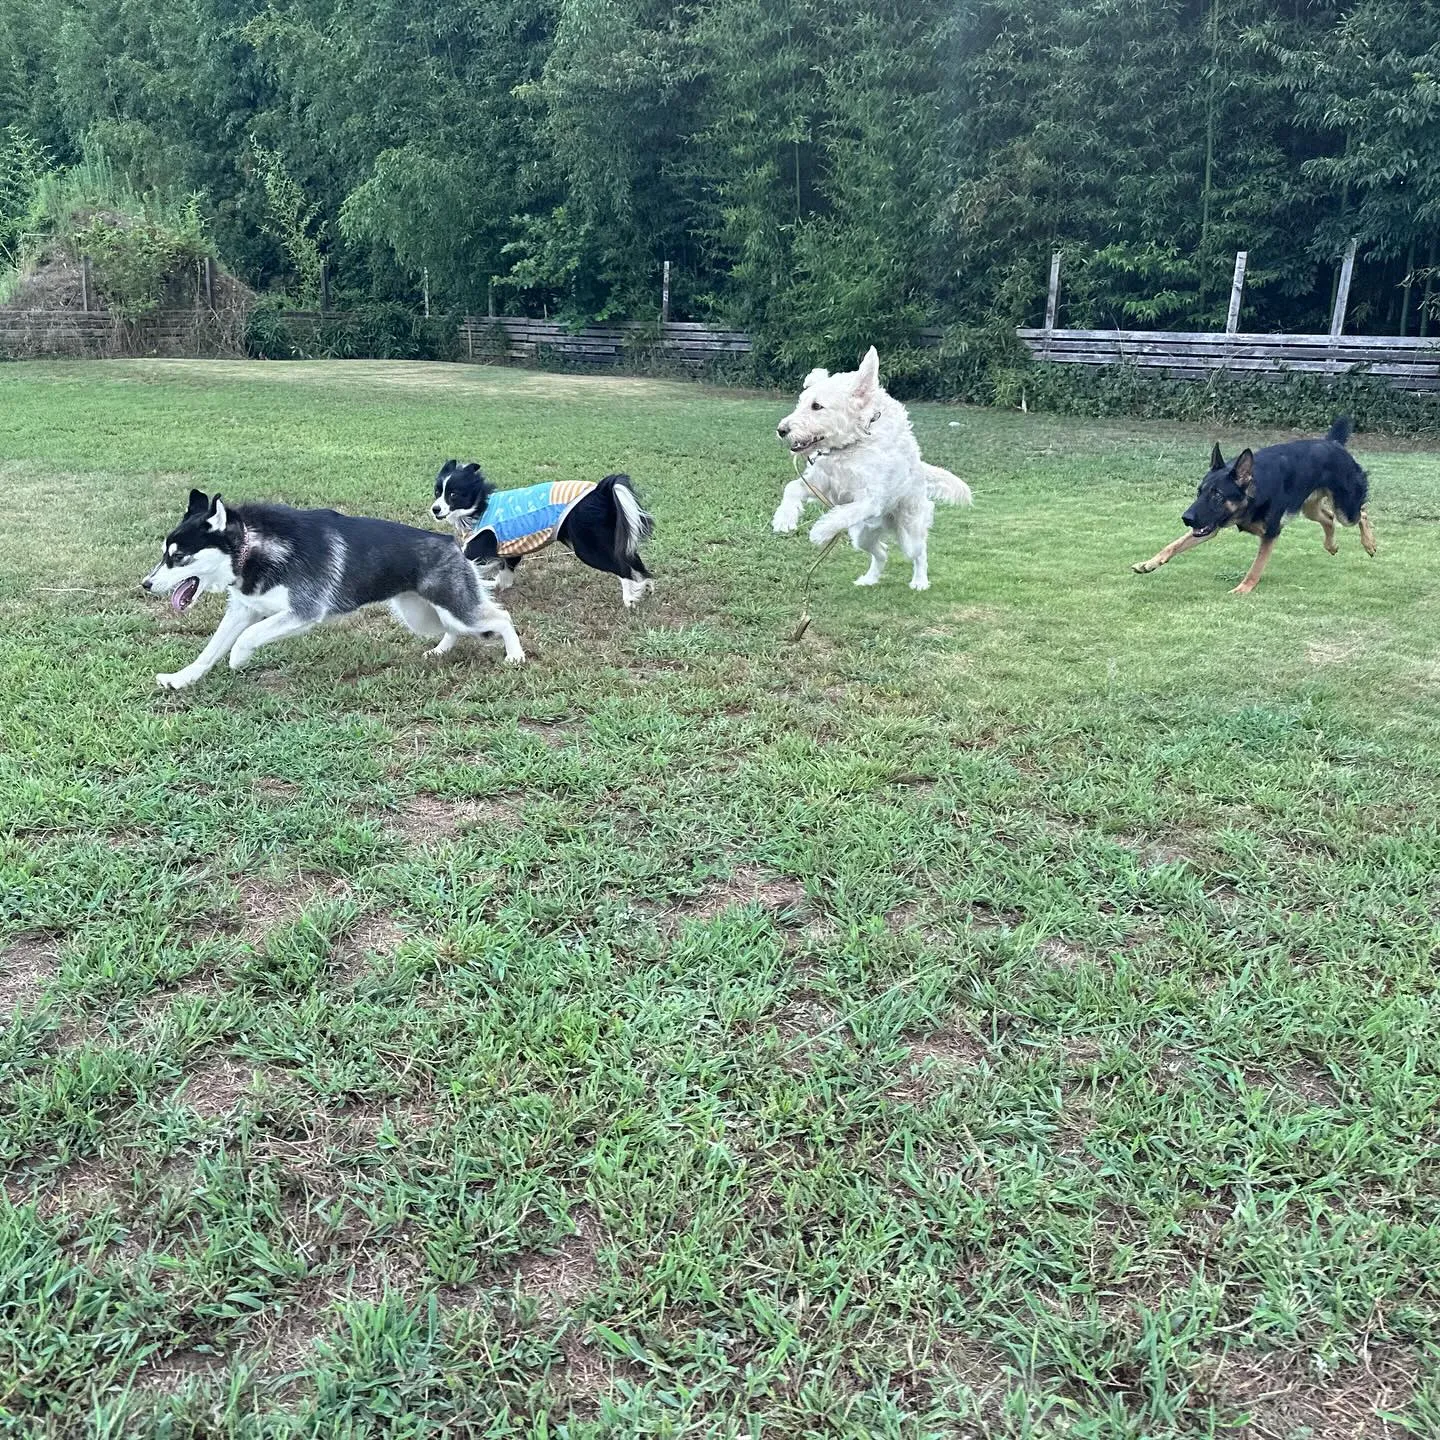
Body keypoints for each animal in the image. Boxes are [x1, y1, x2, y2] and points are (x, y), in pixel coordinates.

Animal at [137, 489, 524, 685]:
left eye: (179, 557)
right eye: (164, 554)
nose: (146, 584)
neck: (251, 547)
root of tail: (453, 543)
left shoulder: (303, 612)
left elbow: (247, 637)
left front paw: (238, 658)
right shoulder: (244, 609)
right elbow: (209, 651)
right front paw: (182, 678)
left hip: (455, 608)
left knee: (500, 617)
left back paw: (515, 656)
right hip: (422, 616)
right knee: (452, 629)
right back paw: (441, 651)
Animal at [426, 460, 653, 607]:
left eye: (453, 494)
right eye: (437, 492)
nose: (435, 509)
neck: (479, 504)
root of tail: (601, 490)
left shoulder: (478, 549)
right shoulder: (510, 551)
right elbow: (504, 578)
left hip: (587, 547)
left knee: (622, 567)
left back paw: (629, 598)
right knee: (634, 560)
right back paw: (646, 586)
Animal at [771, 345, 973, 587]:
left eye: (816, 406)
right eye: (800, 403)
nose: (781, 430)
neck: (854, 443)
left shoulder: (871, 499)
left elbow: (844, 512)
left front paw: (821, 531)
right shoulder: (821, 482)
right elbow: (791, 487)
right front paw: (784, 519)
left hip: (909, 534)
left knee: (920, 553)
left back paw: (920, 581)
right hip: (863, 535)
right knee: (882, 552)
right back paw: (869, 579)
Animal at [1134, 417, 1370, 596]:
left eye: (1217, 495)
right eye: (1199, 492)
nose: (1186, 518)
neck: (1253, 495)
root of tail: (1334, 443)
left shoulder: (1270, 533)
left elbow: (1256, 567)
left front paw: (1243, 588)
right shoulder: (1209, 527)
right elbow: (1173, 545)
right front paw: (1149, 563)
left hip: (1346, 511)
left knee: (1362, 513)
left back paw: (1369, 543)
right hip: (1309, 508)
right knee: (1329, 518)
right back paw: (1331, 546)